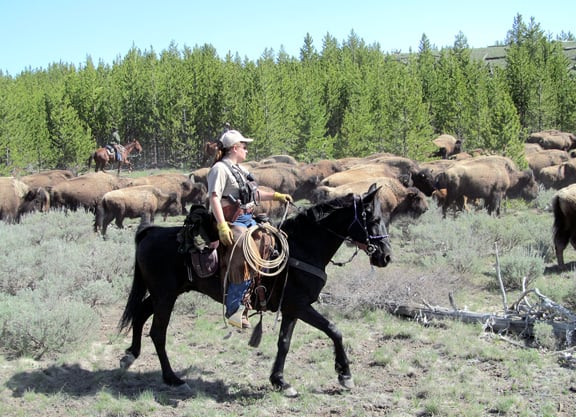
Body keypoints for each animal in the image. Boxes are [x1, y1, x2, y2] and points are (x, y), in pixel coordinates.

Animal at [117, 183, 392, 396]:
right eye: (374, 220)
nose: (386, 256)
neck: (302, 247)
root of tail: (150, 232)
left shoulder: (290, 308)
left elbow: (284, 342)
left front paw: (279, 381)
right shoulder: (300, 305)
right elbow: (334, 330)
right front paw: (345, 375)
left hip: (164, 293)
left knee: (140, 315)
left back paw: (130, 355)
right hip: (165, 295)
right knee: (158, 332)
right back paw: (172, 378)